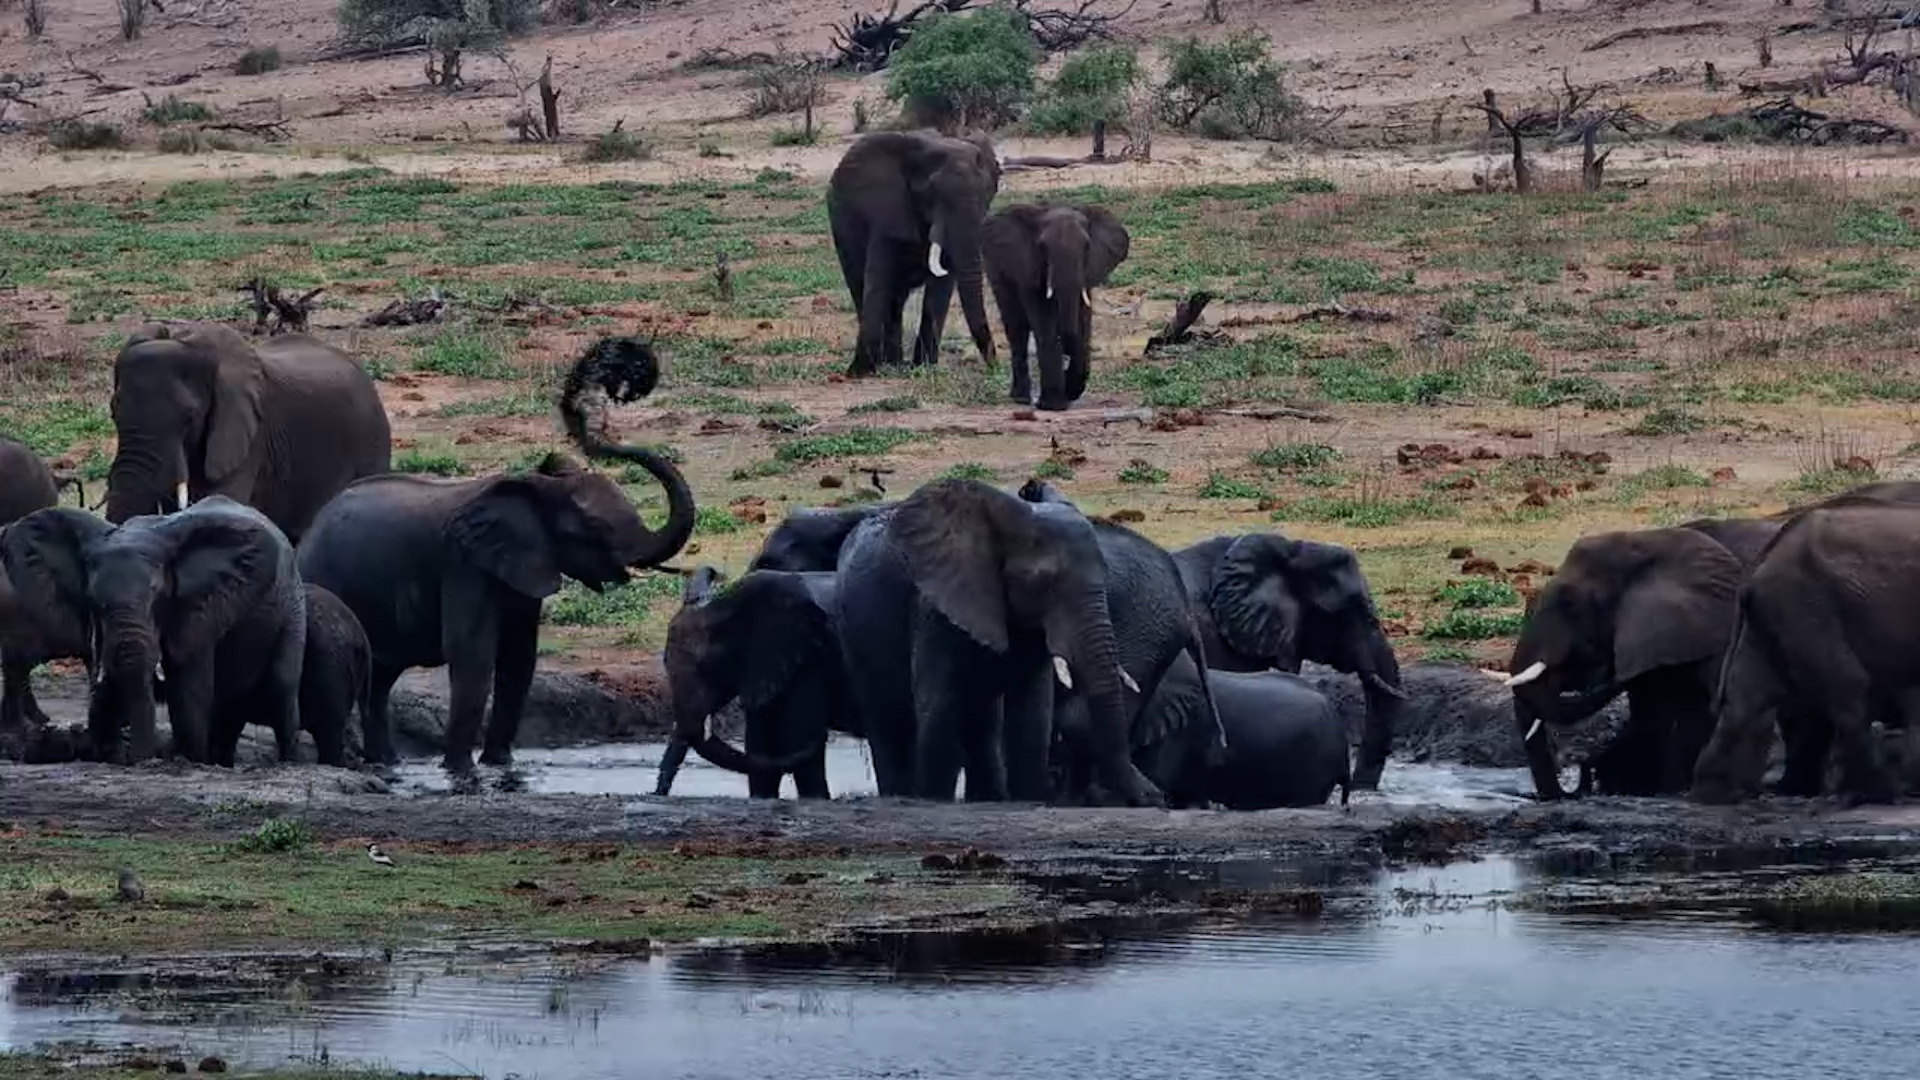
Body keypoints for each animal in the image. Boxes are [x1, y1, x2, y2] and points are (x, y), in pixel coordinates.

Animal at [9, 497, 305, 764]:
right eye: (93, 601)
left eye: (158, 596)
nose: (140, 760)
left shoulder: (199, 613)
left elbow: (188, 692)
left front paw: (189, 757)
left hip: (293, 609)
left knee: (282, 688)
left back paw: (287, 761)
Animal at [828, 130, 1000, 377]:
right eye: (932, 193)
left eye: (987, 194)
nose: (995, 365)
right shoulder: (888, 210)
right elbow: (877, 280)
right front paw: (860, 371)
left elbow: (940, 287)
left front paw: (924, 365)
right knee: (863, 285)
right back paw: (885, 363)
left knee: (896, 299)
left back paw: (894, 363)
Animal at [836, 478, 1161, 805]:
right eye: (1042, 581)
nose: (1157, 799)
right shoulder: (933, 606)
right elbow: (940, 711)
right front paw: (933, 799)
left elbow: (1032, 718)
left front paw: (1028, 799)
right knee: (889, 725)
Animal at [981, 203, 1130, 410]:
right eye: (1042, 247)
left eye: (1087, 246)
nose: (1071, 392)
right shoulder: (1030, 271)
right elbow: (1046, 325)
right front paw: (1052, 405)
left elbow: (1082, 323)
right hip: (996, 272)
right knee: (1016, 327)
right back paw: (1021, 399)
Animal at [1692, 500, 1920, 804]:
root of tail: (1757, 566)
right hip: (1805, 604)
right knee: (1849, 690)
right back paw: (1880, 794)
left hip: (1779, 612)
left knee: (1745, 697)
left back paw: (1711, 794)